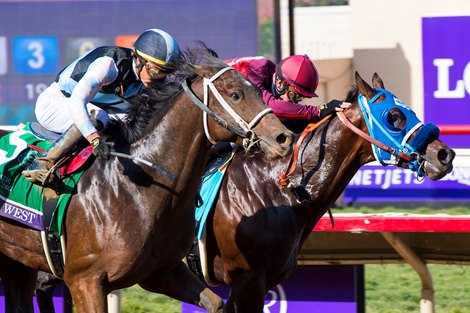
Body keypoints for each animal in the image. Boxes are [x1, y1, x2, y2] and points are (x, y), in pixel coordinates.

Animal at [0, 48, 294, 312]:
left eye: (258, 92)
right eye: (235, 94)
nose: (284, 138)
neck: (134, 188)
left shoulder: (162, 272)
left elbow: (216, 304)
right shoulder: (84, 280)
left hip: (18, 260)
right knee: (95, 113)